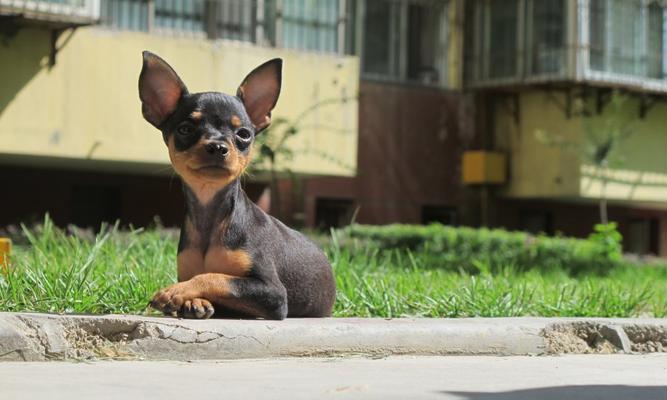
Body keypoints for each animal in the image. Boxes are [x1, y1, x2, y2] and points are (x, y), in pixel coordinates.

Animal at [142, 51, 340, 320]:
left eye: (244, 134)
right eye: (185, 129)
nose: (217, 146)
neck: (211, 214)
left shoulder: (274, 294)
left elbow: (216, 277)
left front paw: (176, 292)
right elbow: (205, 277)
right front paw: (194, 301)